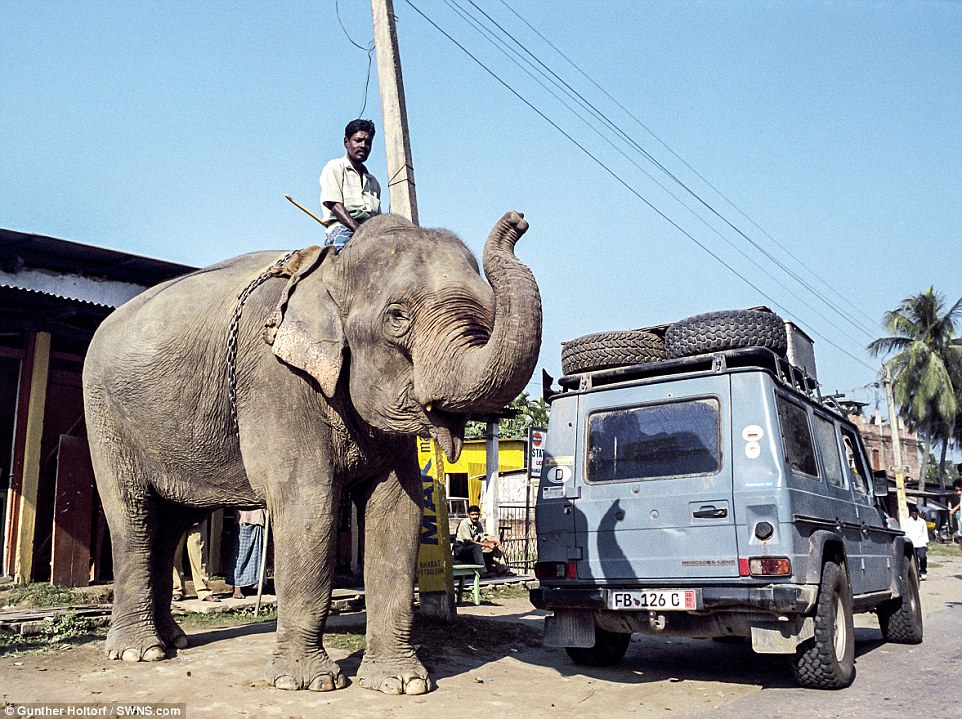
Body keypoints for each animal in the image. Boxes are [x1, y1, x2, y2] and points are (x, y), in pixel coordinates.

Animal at [82, 211, 542, 694]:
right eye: (397, 318)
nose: (517, 219)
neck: (332, 271)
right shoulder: (276, 379)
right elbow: (309, 505)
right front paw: (308, 683)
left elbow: (398, 511)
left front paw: (402, 683)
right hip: (105, 415)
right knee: (134, 518)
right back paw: (139, 652)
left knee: (172, 522)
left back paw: (173, 641)